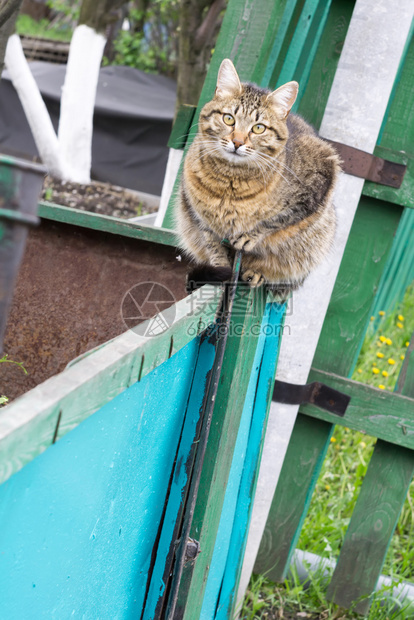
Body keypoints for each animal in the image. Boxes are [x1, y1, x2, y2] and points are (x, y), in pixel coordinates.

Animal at [175, 59, 340, 300]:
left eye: (258, 128)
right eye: (228, 119)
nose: (237, 142)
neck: (230, 180)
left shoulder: (322, 177)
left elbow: (279, 218)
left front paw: (251, 236)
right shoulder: (199, 214)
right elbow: (214, 246)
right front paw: (220, 267)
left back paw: (257, 273)